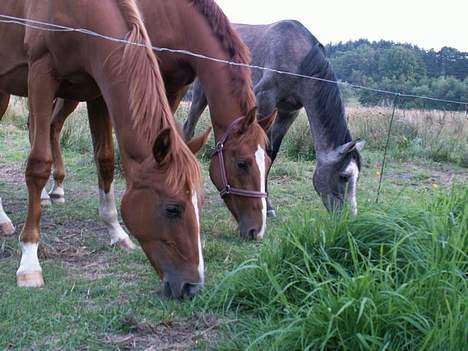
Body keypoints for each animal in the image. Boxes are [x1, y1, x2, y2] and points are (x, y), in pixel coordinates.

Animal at [0, 0, 205, 300]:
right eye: (172, 209)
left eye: (199, 204)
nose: (192, 287)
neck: (79, 12)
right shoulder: (40, 75)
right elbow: (39, 166)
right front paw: (29, 261)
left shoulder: (97, 90)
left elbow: (106, 161)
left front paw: (116, 232)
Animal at [12, 0, 276, 241]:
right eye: (242, 163)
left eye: (268, 162)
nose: (257, 230)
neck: (175, 18)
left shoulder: (176, 87)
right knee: (43, 126)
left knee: (51, 126)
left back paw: (56, 190)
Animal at [184, 20, 366, 217]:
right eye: (344, 176)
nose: (350, 217)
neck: (300, 60)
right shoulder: (264, 101)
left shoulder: (288, 113)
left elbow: (271, 151)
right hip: (201, 93)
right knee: (188, 129)